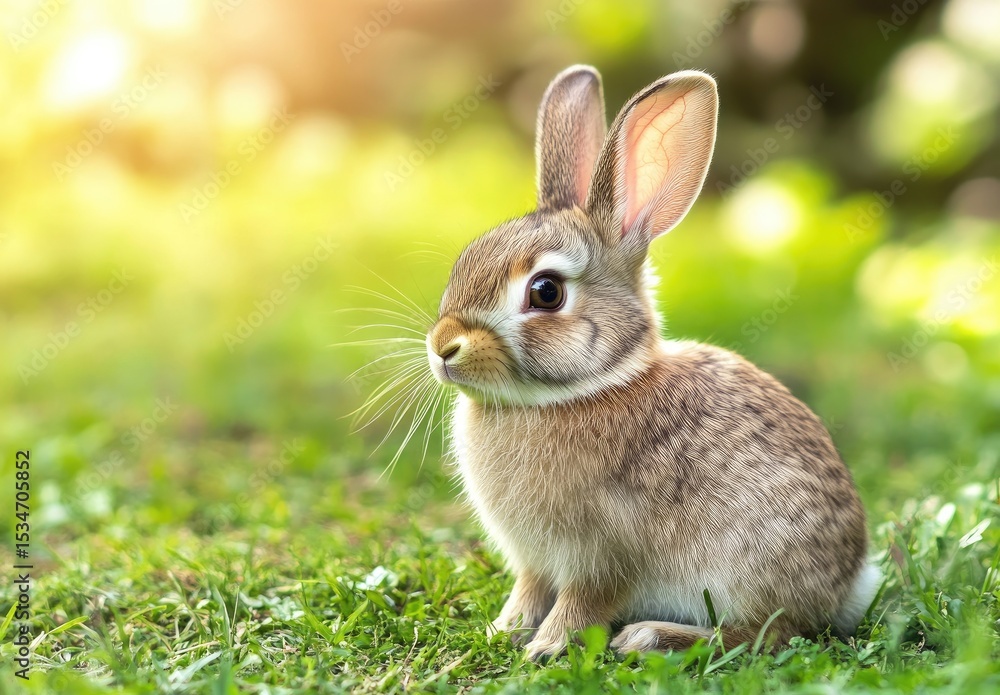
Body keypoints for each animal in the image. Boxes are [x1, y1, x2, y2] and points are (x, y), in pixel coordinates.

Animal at [424, 65, 881, 660]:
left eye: (546, 293)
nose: (442, 346)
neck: (587, 387)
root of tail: (850, 584)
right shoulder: (535, 563)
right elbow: (528, 590)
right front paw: (504, 629)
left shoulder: (601, 556)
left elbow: (582, 603)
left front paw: (545, 648)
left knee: (768, 632)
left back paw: (651, 635)